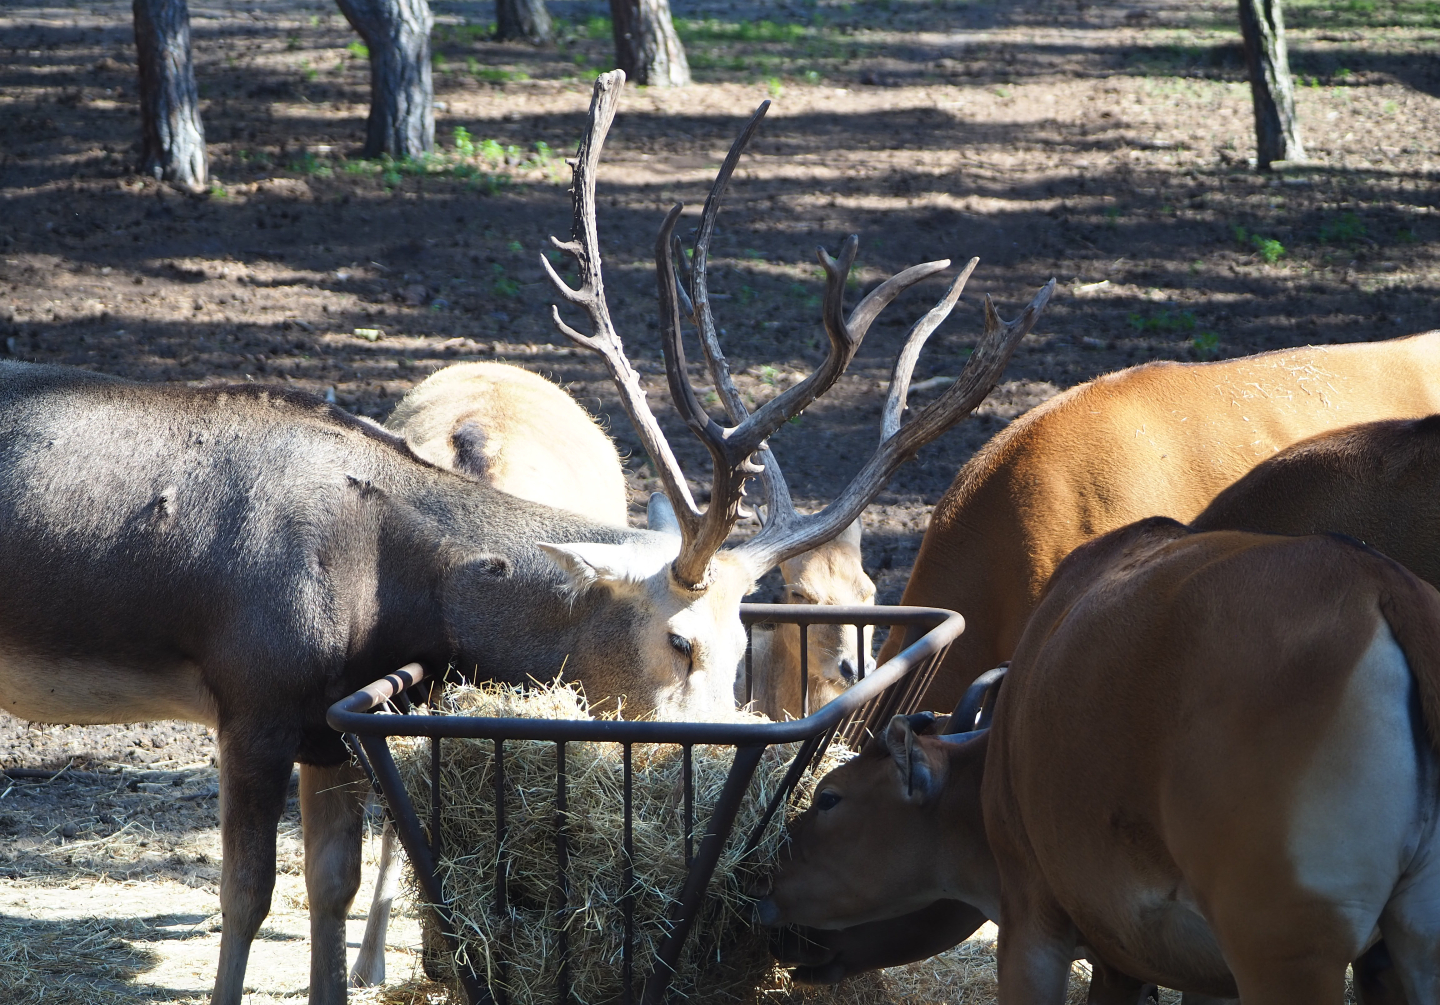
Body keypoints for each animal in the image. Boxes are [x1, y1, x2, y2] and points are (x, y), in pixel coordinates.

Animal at [0, 70, 1049, 1005]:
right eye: (680, 640)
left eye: (749, 641)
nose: (706, 768)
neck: (382, 595)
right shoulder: (250, 698)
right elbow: (247, 899)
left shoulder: (330, 727)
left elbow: (330, 888)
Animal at [759, 518, 1440, 1005]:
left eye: (829, 796)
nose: (766, 898)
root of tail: (1384, 585)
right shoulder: (1165, 968)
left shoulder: (1032, 924)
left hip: (1284, 951)